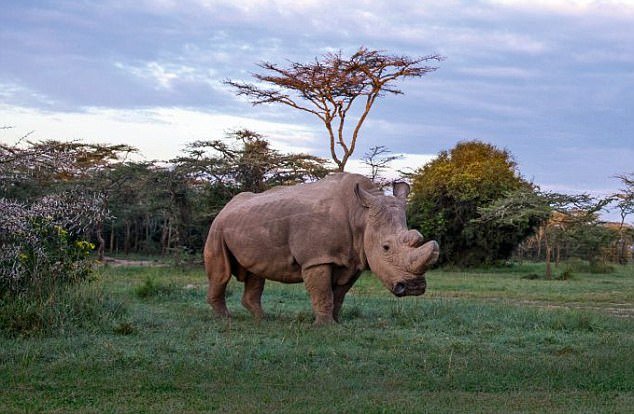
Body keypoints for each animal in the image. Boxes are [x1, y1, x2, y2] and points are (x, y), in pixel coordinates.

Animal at [205, 171, 436, 324]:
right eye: (386, 247)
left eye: (418, 238)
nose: (415, 288)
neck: (360, 215)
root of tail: (226, 207)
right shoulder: (317, 258)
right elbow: (323, 292)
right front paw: (326, 327)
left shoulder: (352, 260)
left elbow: (339, 295)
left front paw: (336, 323)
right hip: (217, 228)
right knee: (221, 274)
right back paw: (226, 319)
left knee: (256, 272)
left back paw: (262, 319)